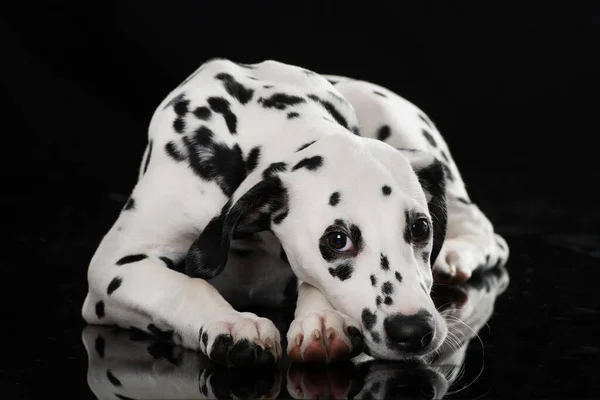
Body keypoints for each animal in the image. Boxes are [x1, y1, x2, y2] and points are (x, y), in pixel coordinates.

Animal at [82, 57, 508, 368]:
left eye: (420, 227)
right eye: (338, 240)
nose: (413, 330)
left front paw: (320, 321)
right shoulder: (111, 271)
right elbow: (184, 286)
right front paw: (231, 323)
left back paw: (458, 254)